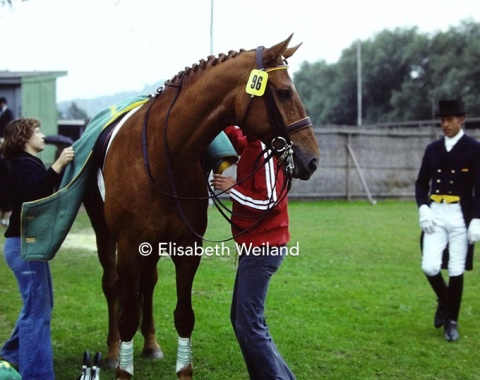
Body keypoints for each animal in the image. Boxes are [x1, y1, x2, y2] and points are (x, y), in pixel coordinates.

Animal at [83, 34, 318, 378]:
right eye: (285, 92)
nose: (311, 158)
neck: (163, 156)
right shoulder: (128, 246)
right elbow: (126, 315)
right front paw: (123, 367)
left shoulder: (186, 248)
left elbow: (184, 315)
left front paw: (183, 368)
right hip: (105, 234)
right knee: (113, 287)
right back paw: (114, 351)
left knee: (148, 284)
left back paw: (150, 344)